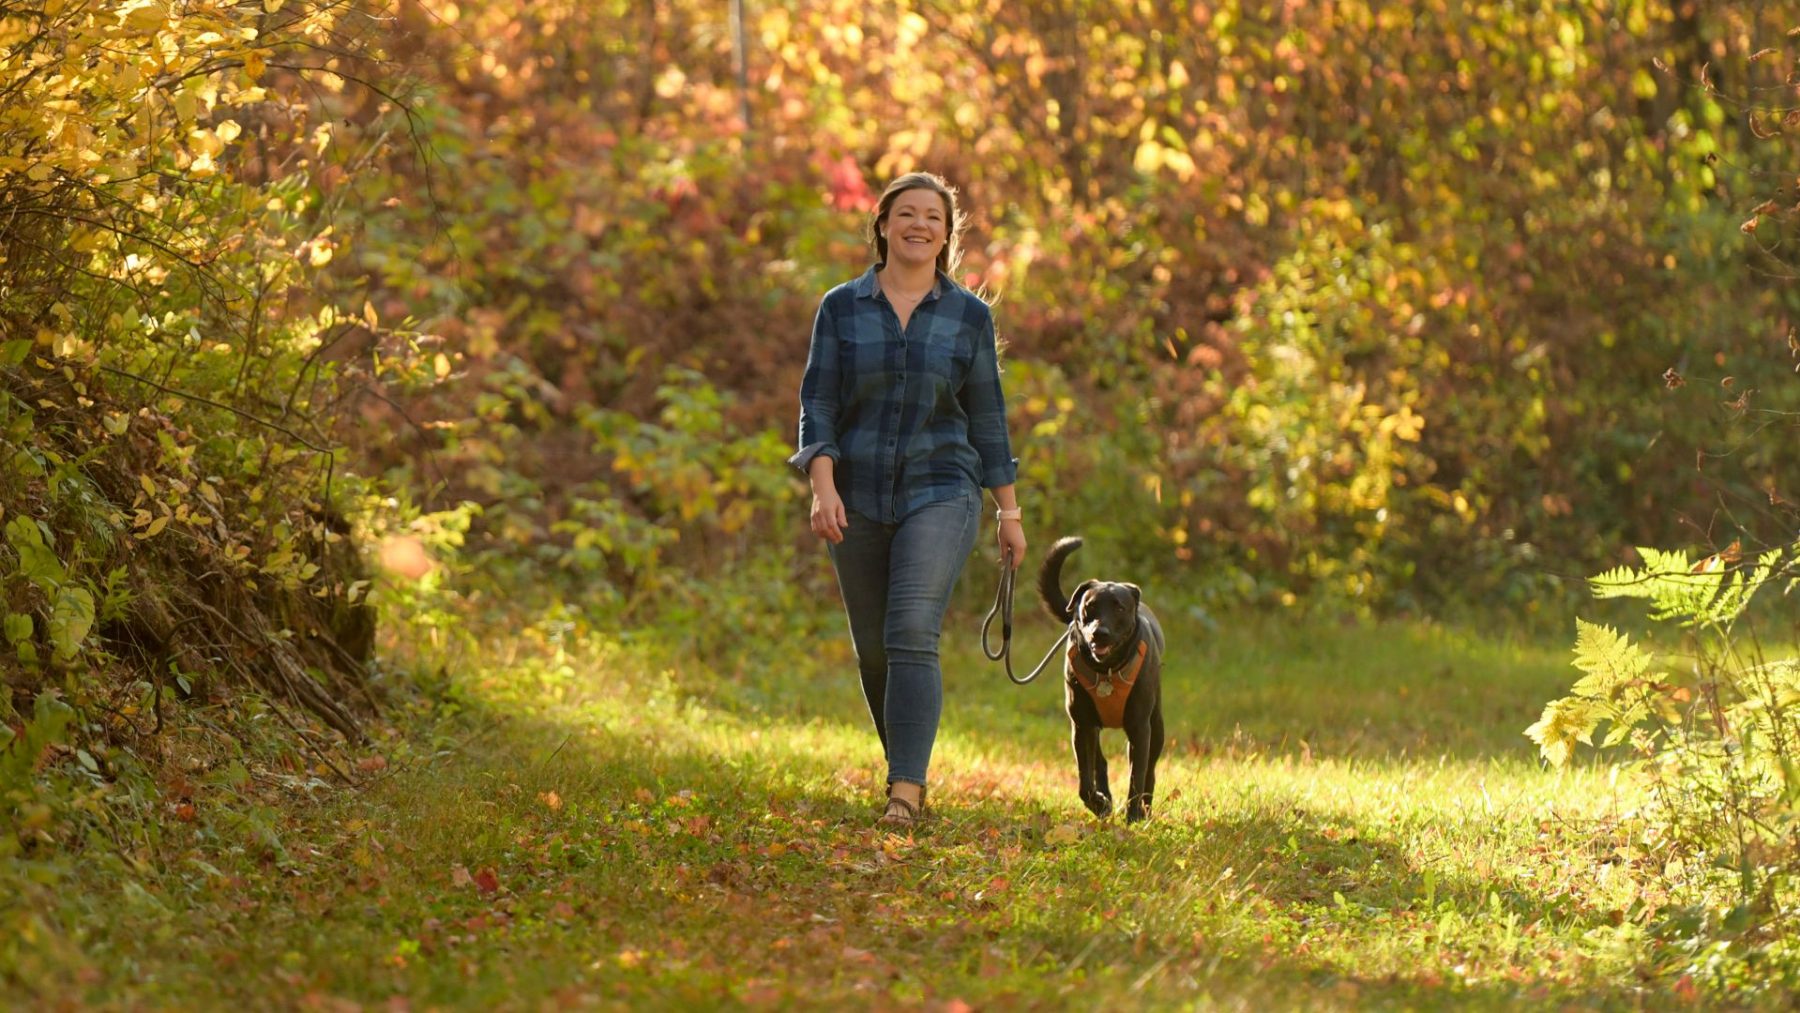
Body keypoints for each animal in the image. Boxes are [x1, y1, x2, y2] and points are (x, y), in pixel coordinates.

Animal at [1044, 539, 1166, 824]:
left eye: (1119, 607)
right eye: (1089, 606)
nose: (1100, 633)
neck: (1107, 670)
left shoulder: (1140, 727)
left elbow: (1136, 776)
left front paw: (1132, 817)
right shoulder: (1081, 725)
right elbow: (1084, 779)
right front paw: (1099, 804)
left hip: (1157, 725)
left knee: (1150, 770)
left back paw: (1145, 809)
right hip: (1093, 726)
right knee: (1099, 761)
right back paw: (1106, 798)